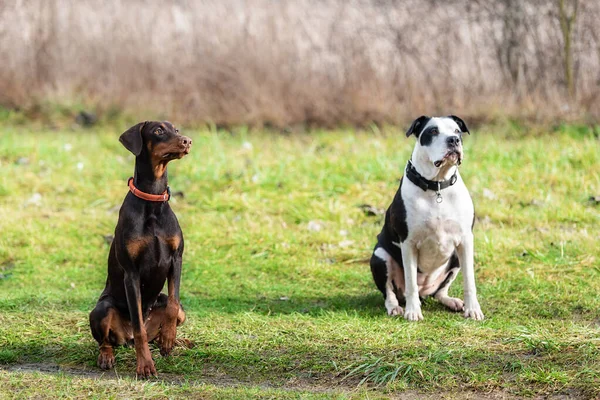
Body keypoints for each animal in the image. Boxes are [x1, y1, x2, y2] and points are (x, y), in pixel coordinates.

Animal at [89, 121, 191, 378]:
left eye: (176, 130)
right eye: (158, 131)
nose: (187, 141)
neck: (152, 201)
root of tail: (126, 339)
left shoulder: (176, 259)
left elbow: (173, 305)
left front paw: (169, 338)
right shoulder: (131, 273)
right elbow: (138, 326)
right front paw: (145, 365)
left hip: (172, 306)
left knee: (170, 316)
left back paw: (177, 341)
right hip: (101, 309)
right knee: (108, 340)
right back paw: (106, 356)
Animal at [368, 115, 486, 322]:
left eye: (457, 131)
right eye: (432, 131)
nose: (453, 140)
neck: (436, 186)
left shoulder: (465, 241)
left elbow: (469, 280)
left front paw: (473, 309)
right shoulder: (408, 243)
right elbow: (411, 282)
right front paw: (413, 311)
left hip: (454, 258)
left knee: (439, 292)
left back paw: (452, 301)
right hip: (380, 256)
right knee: (390, 292)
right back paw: (396, 307)